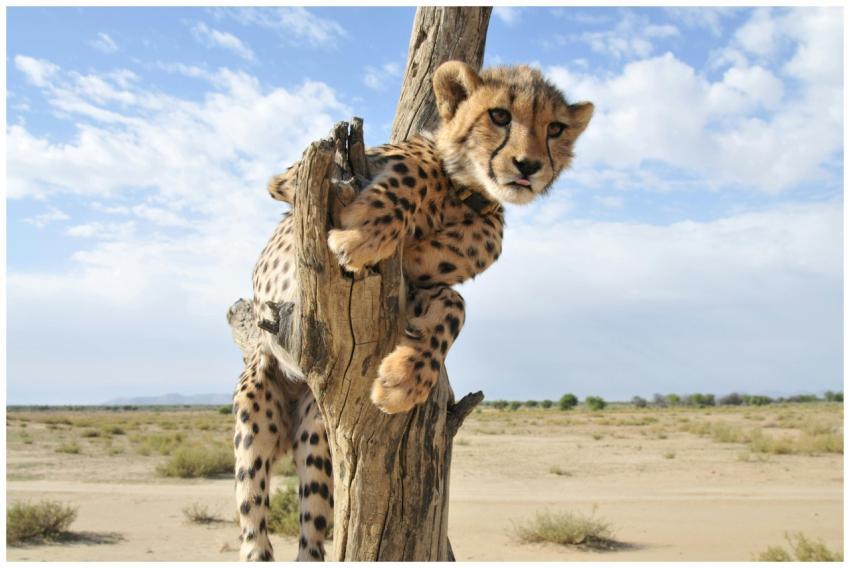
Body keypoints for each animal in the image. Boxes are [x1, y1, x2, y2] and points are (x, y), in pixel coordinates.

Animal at [232, 61, 593, 561]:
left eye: (555, 128)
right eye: (499, 115)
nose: (529, 166)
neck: (463, 195)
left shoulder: (413, 290)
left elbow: (458, 299)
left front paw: (404, 379)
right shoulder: (291, 178)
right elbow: (415, 168)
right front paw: (366, 231)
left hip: (316, 431)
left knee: (312, 531)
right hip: (255, 416)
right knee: (253, 526)